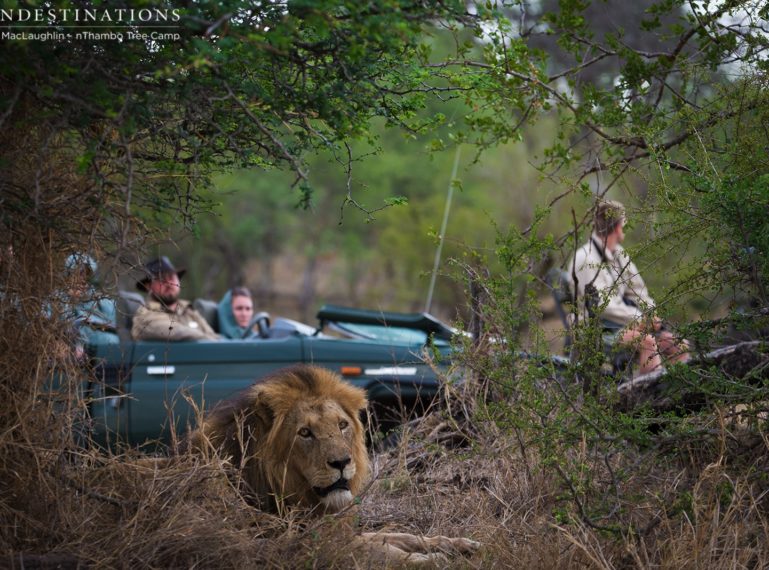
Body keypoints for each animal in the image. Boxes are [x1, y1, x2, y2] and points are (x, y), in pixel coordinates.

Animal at [189, 362, 476, 560]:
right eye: (305, 432)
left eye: (342, 425)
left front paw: (458, 544)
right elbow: (378, 549)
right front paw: (429, 559)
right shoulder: (295, 542)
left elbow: (399, 535)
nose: (342, 462)